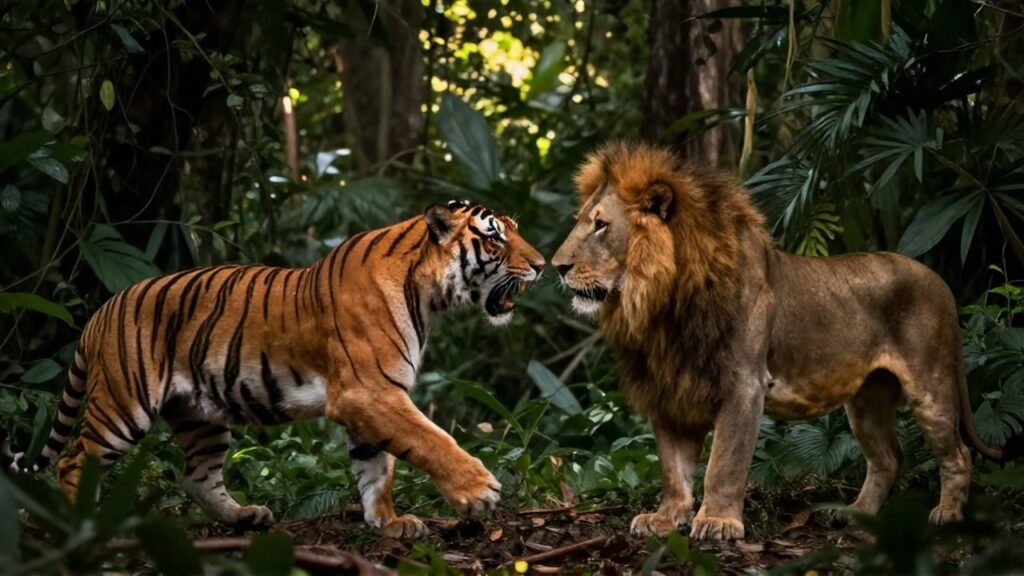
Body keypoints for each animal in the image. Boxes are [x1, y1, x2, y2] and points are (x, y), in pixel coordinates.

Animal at [6, 200, 545, 538]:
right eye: (495, 238)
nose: (541, 265)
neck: (429, 293)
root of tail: (102, 309)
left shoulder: (370, 400)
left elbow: (378, 467)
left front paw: (389, 522)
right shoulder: (369, 392)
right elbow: (429, 439)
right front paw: (478, 491)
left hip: (201, 417)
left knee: (196, 477)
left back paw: (247, 517)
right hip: (123, 406)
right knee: (72, 461)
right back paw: (81, 527)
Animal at [551, 142, 1002, 541]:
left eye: (600, 225)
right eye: (581, 220)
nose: (556, 266)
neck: (662, 301)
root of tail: (939, 281)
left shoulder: (744, 384)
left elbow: (724, 462)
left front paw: (717, 522)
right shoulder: (672, 387)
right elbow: (672, 467)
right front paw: (666, 518)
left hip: (930, 382)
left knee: (958, 453)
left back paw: (947, 514)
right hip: (868, 398)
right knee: (889, 458)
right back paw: (855, 514)